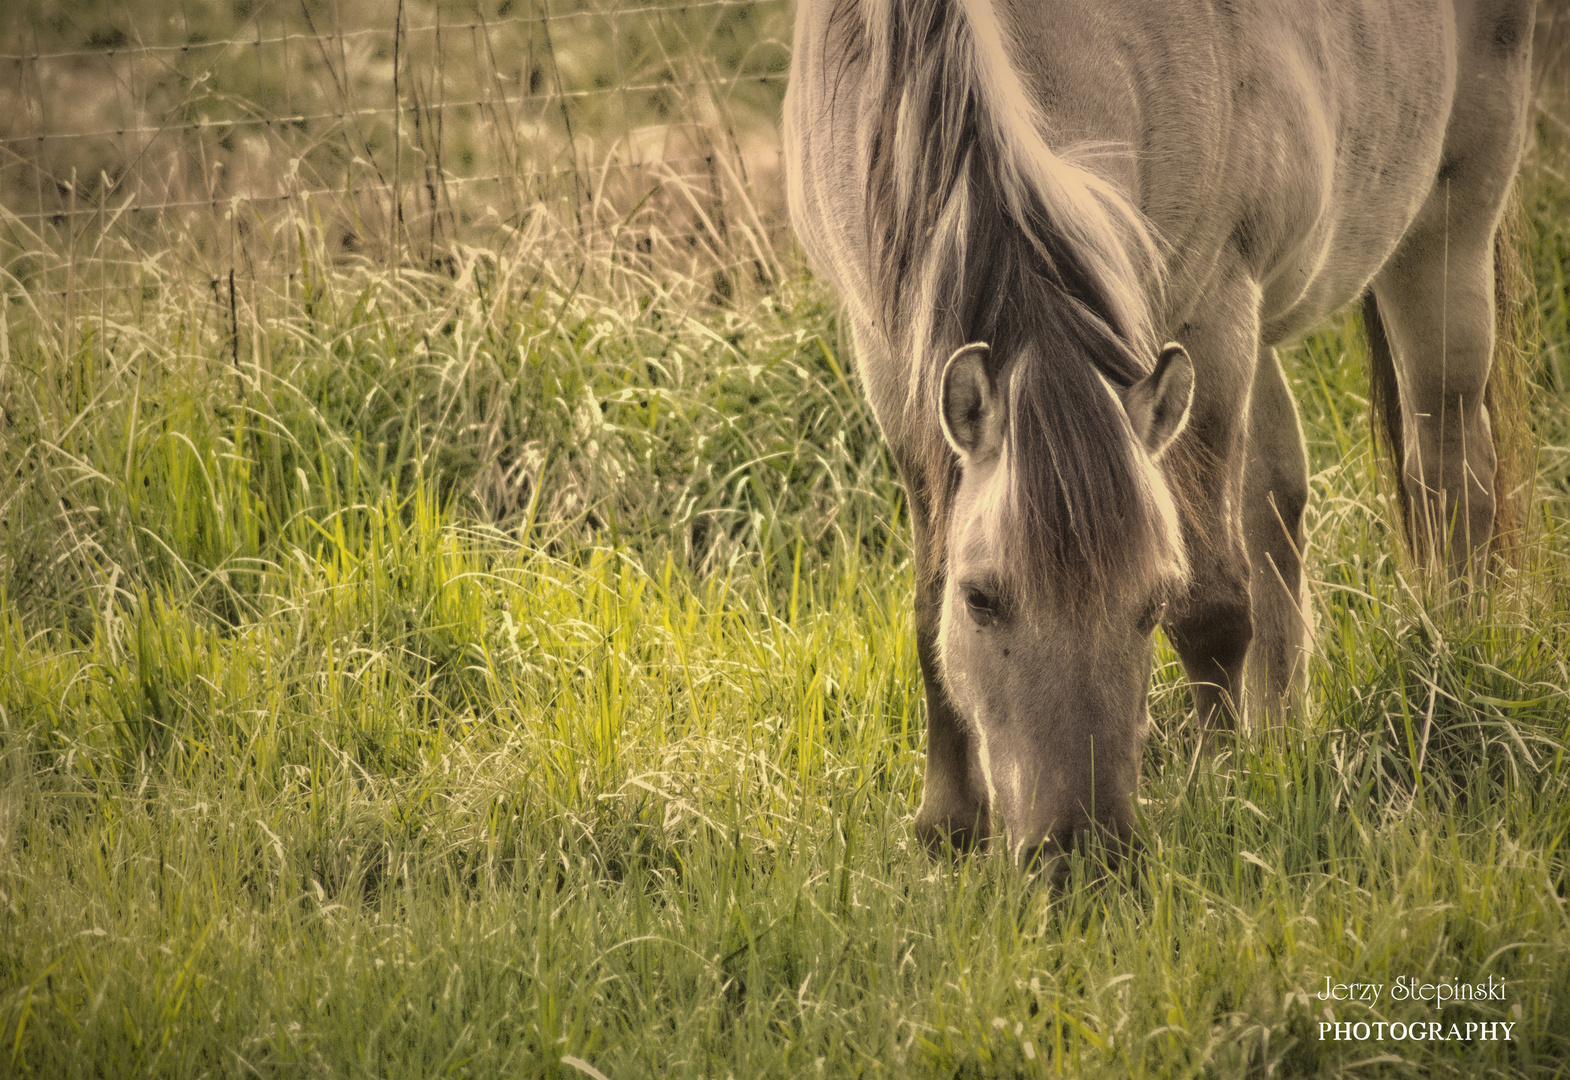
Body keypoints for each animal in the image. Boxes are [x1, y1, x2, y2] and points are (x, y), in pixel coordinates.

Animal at [785, 0, 1532, 866]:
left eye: (1150, 604)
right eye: (983, 600)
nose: (1081, 855)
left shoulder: (1207, 314)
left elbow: (1212, 604)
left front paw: (1222, 791)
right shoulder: (892, 365)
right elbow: (926, 599)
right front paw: (948, 824)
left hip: (1450, 218)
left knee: (1449, 472)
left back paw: (1450, 661)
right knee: (1278, 500)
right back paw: (1285, 732)